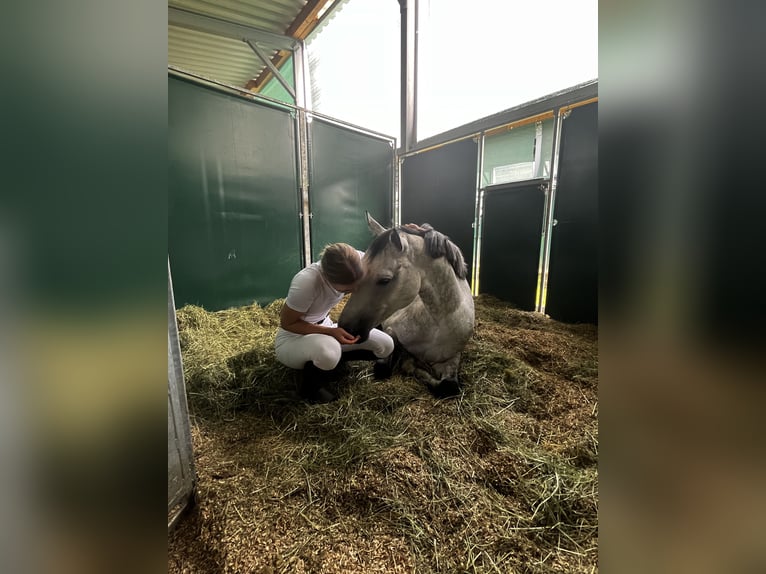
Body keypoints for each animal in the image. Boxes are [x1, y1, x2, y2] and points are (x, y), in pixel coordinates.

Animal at [340, 214, 476, 398]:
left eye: (385, 280)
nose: (345, 328)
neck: (438, 323)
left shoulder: (452, 357)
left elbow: (449, 386)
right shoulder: (392, 330)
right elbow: (385, 367)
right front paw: (409, 362)